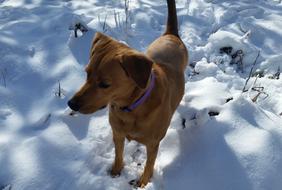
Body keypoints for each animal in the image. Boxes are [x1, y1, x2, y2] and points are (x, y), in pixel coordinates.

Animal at [67, 0, 188, 187]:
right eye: (87, 73)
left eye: (105, 84)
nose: (71, 104)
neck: (131, 108)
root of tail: (171, 35)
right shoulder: (117, 134)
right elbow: (118, 155)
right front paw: (116, 172)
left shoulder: (153, 144)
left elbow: (149, 165)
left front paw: (144, 182)